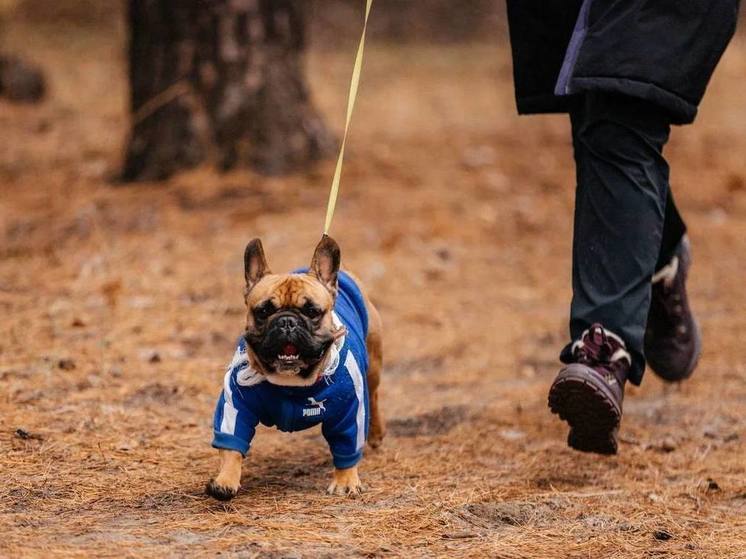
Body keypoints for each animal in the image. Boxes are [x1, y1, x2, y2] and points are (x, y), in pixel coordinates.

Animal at [208, 234, 386, 500]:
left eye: (312, 311)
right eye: (263, 311)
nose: (287, 321)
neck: (292, 380)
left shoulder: (350, 409)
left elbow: (348, 444)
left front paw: (345, 480)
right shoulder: (236, 402)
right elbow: (232, 442)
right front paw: (225, 480)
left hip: (373, 366)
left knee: (373, 396)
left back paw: (376, 433)